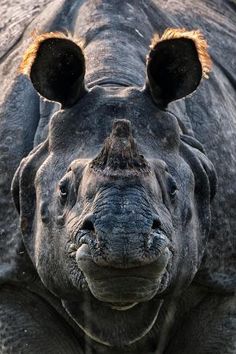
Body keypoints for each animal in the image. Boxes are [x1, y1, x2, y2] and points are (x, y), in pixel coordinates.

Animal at [0, 0, 235, 352]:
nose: (123, 240)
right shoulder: (9, 278)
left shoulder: (225, 276)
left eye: (173, 188)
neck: (113, 82)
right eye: (63, 190)